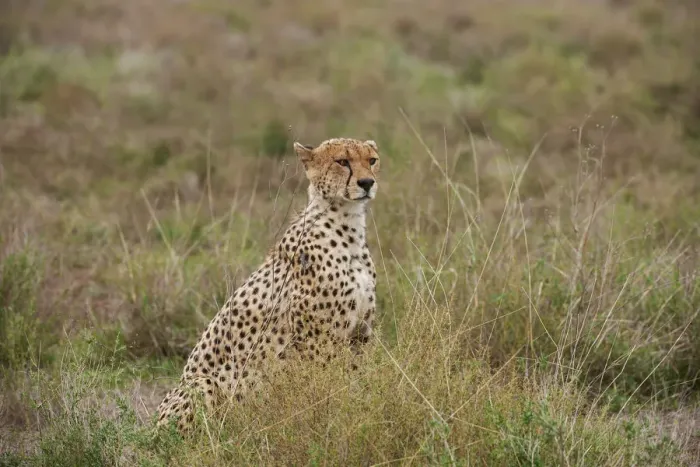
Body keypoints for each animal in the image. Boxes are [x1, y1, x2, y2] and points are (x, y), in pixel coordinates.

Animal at [156, 137, 381, 434]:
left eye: (372, 160)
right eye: (342, 161)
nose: (367, 183)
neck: (348, 226)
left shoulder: (360, 334)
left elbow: (359, 382)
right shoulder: (317, 340)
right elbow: (327, 388)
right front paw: (331, 418)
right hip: (202, 383)